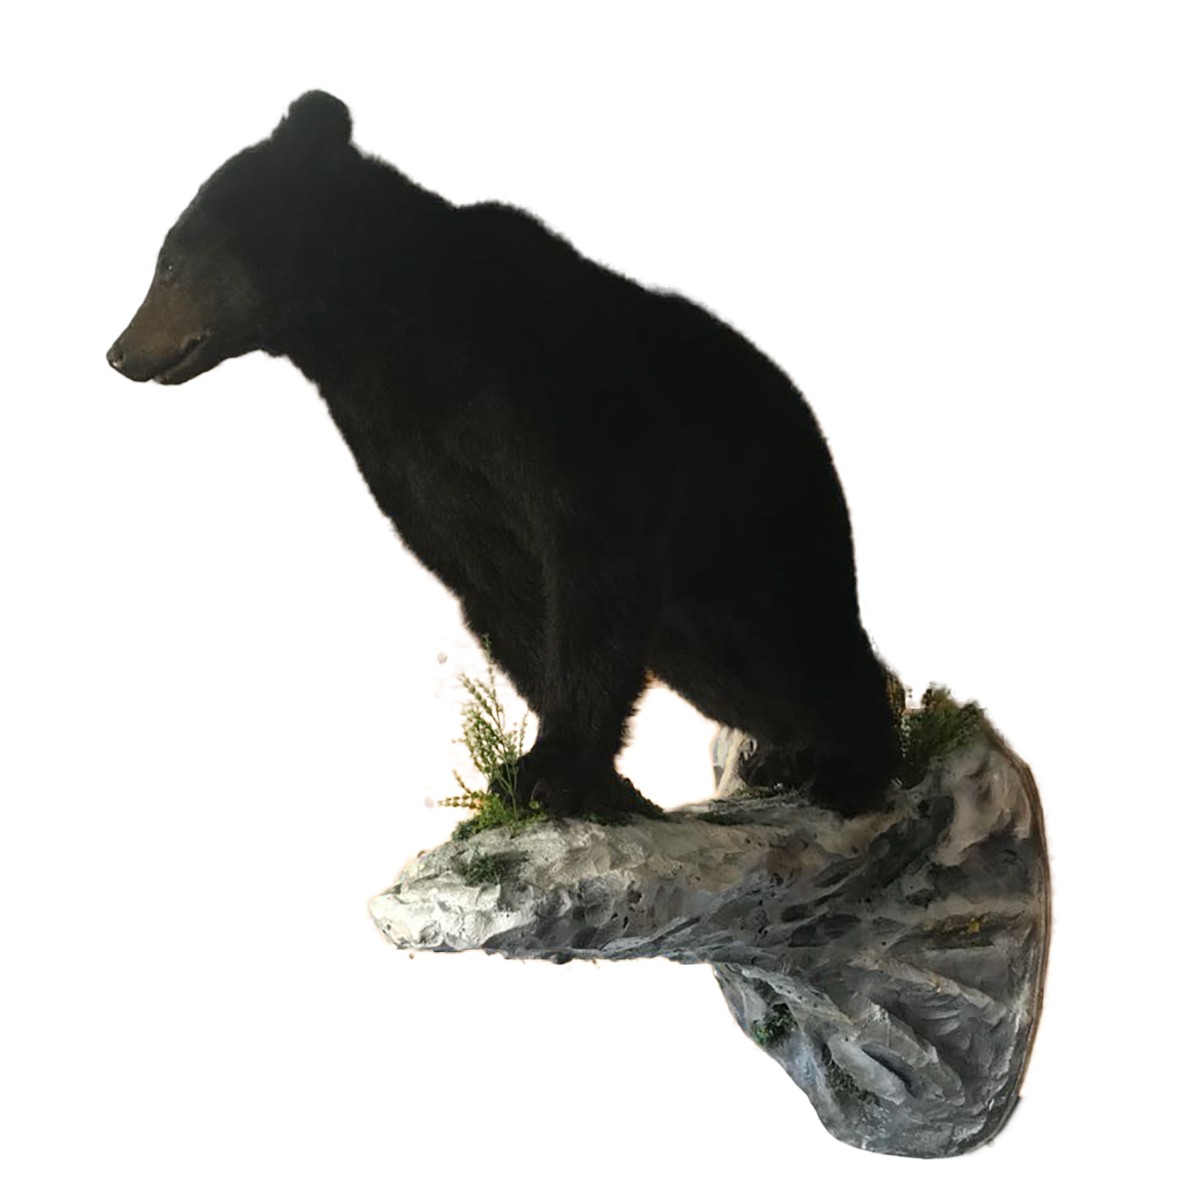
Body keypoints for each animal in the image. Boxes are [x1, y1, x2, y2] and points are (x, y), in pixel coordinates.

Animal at [107, 91, 899, 817]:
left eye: (168, 264)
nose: (118, 352)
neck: (381, 337)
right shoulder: (404, 451)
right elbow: (494, 580)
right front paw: (577, 777)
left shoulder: (553, 398)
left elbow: (591, 556)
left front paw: (553, 770)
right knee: (731, 666)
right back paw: (781, 750)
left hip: (759, 504)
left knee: (798, 626)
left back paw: (850, 765)